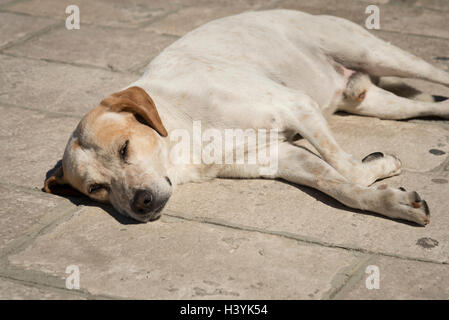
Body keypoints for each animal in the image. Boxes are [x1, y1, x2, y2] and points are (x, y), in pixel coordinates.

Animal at [43, 10, 448, 225]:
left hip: (376, 53)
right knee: (428, 104)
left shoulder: (296, 106)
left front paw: (378, 170)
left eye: (125, 148)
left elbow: (349, 169)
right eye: (97, 189)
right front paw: (391, 197)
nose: (140, 203)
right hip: (376, 103)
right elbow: (343, 187)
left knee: (437, 74)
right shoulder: (282, 157)